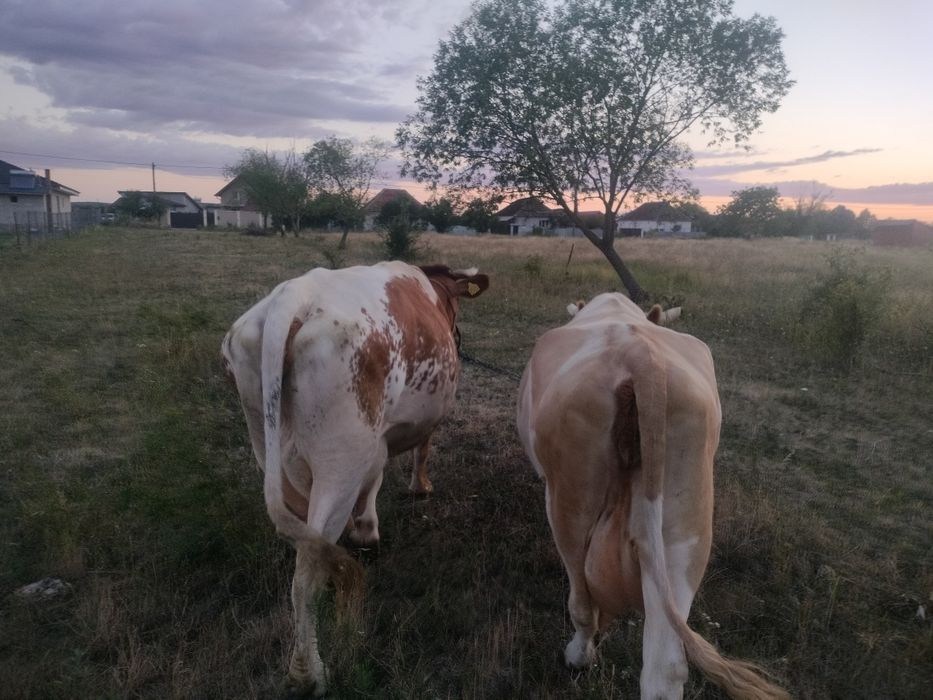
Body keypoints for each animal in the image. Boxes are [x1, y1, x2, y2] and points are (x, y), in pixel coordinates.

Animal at [222, 261, 489, 696]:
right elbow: (405, 462)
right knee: (304, 576)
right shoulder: (379, 444)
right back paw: (308, 674)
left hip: (269, 445)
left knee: (305, 537)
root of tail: (291, 297)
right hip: (341, 459)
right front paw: (408, 497)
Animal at [517, 294, 788, 700]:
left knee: (582, 600)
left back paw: (578, 656)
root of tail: (639, 356)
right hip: (685, 530)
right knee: (666, 666)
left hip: (571, 505)